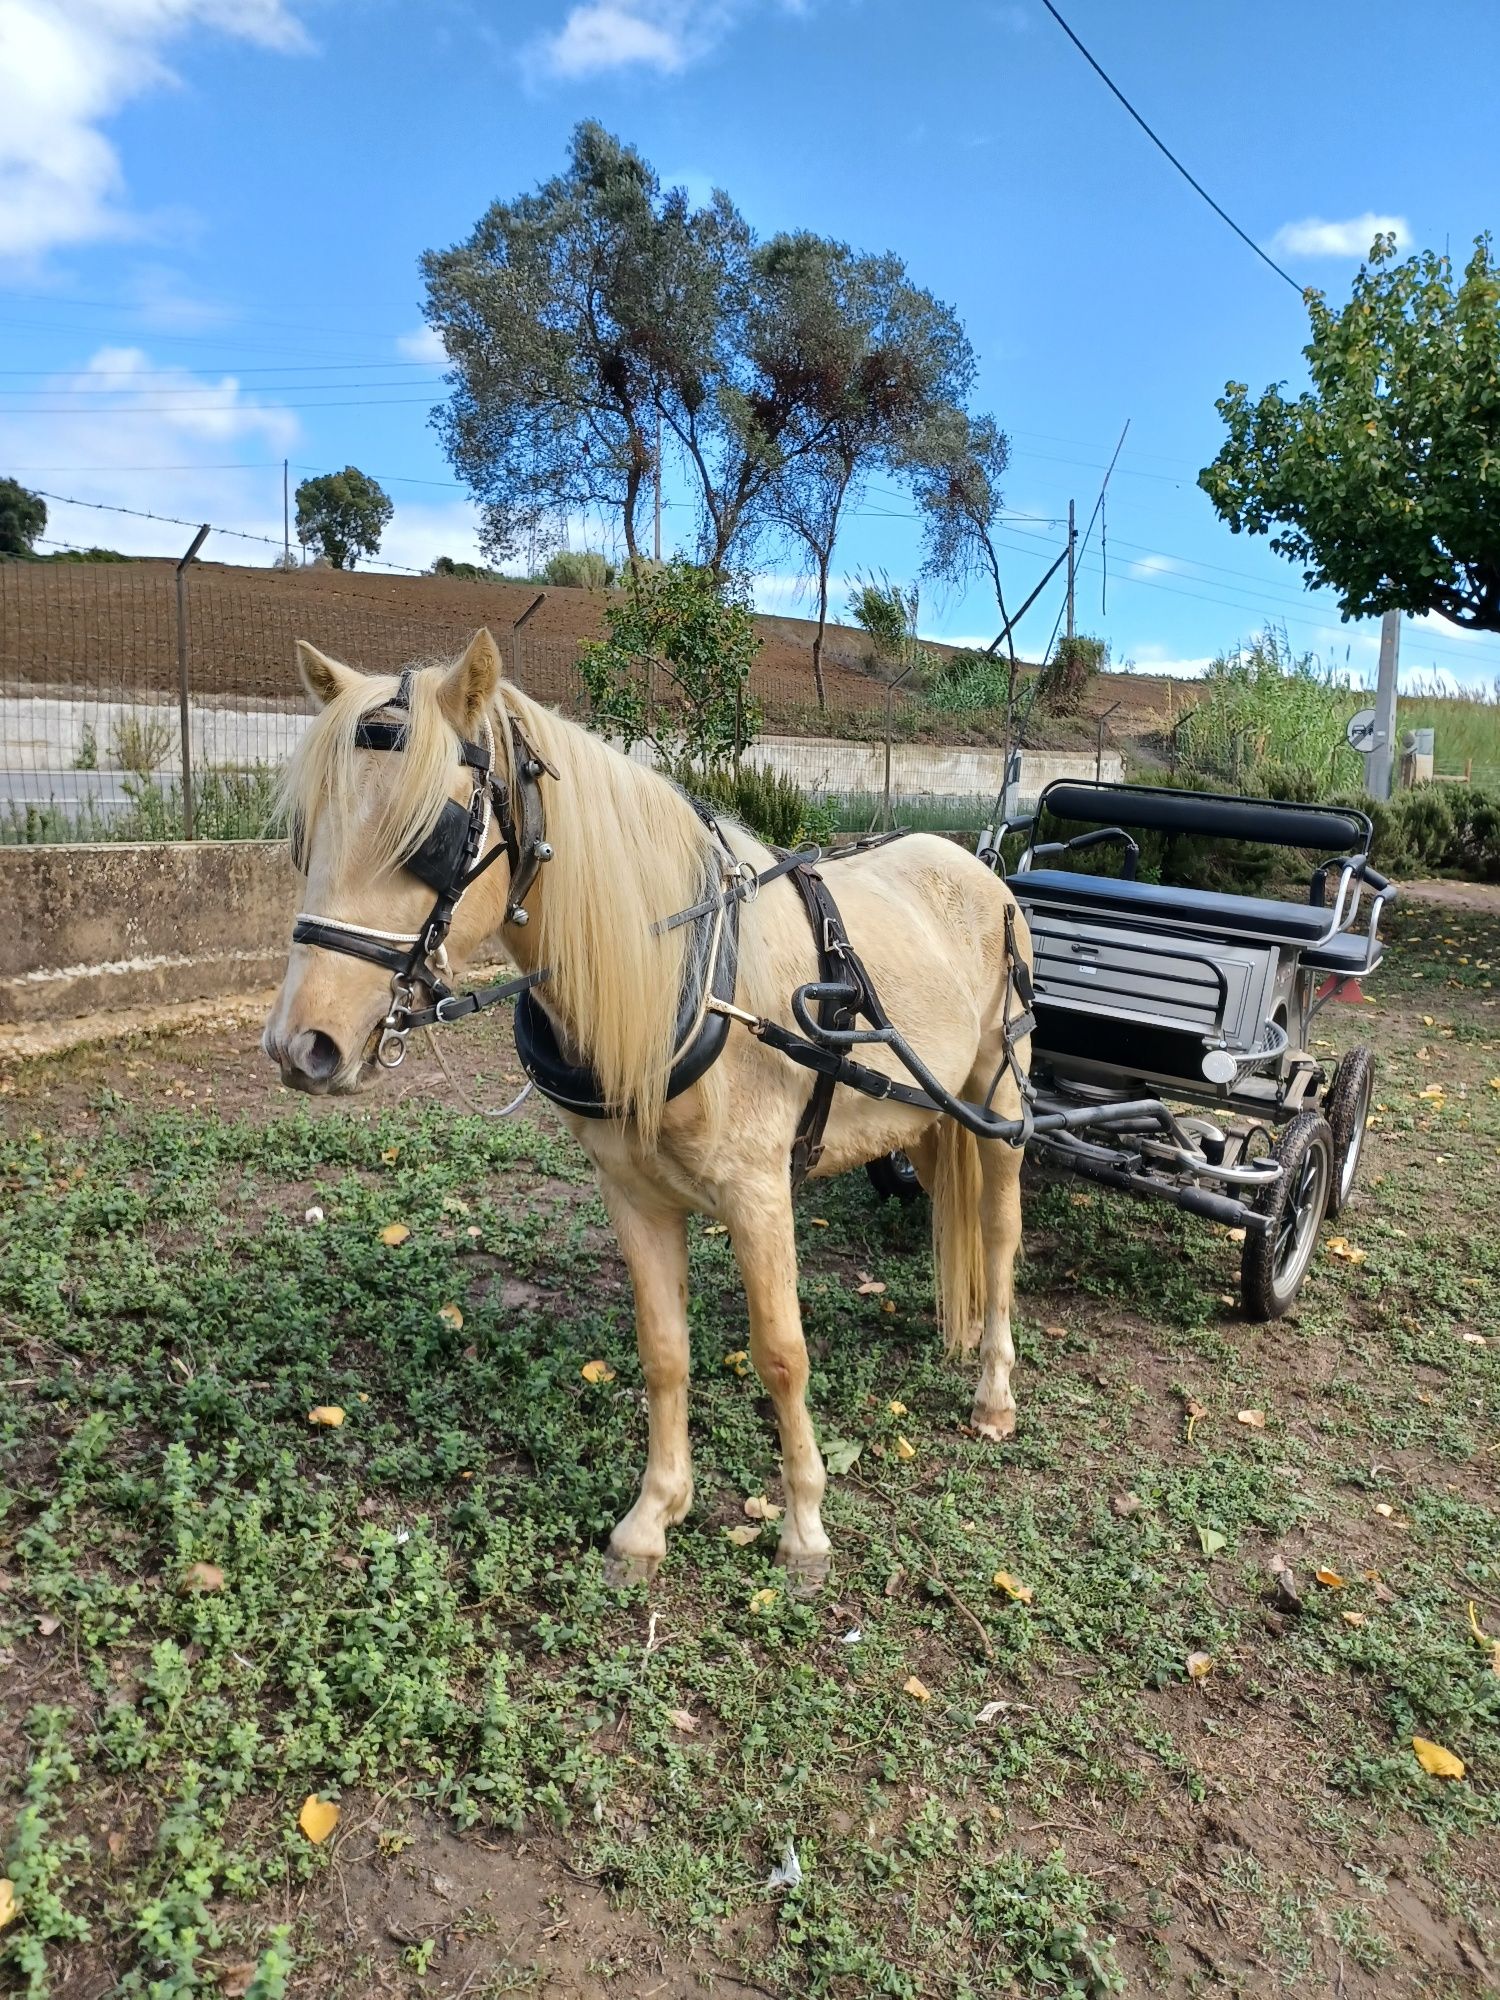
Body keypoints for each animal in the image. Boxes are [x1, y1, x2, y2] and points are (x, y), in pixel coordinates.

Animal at [264, 632, 1032, 1584]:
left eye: (432, 841)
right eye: (305, 833)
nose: (303, 1046)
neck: (690, 978)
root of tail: (980, 870)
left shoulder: (759, 1193)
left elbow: (782, 1354)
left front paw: (803, 1527)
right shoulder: (632, 1191)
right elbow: (664, 1350)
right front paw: (654, 1516)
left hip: (998, 1102)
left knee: (998, 1235)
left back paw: (994, 1389)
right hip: (925, 1112)